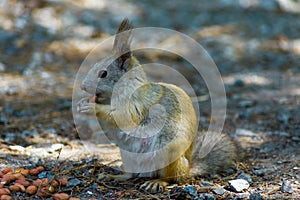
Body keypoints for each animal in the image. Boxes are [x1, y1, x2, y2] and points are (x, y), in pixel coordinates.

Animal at [78, 18, 237, 192]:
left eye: (103, 73)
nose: (82, 87)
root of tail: (187, 169)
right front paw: (85, 102)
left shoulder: (137, 105)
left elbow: (122, 118)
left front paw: (91, 107)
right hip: (128, 156)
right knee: (131, 175)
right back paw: (114, 176)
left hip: (168, 151)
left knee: (171, 178)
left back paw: (157, 182)